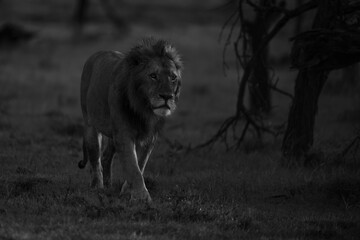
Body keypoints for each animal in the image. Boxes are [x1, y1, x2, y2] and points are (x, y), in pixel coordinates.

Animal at [77, 38, 181, 202]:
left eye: (173, 77)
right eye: (153, 75)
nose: (167, 96)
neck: (144, 109)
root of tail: (97, 54)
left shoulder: (149, 137)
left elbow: (140, 164)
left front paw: (127, 191)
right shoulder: (124, 133)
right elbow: (133, 166)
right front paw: (141, 197)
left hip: (112, 134)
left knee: (106, 157)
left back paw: (109, 185)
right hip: (90, 124)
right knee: (95, 159)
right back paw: (97, 186)